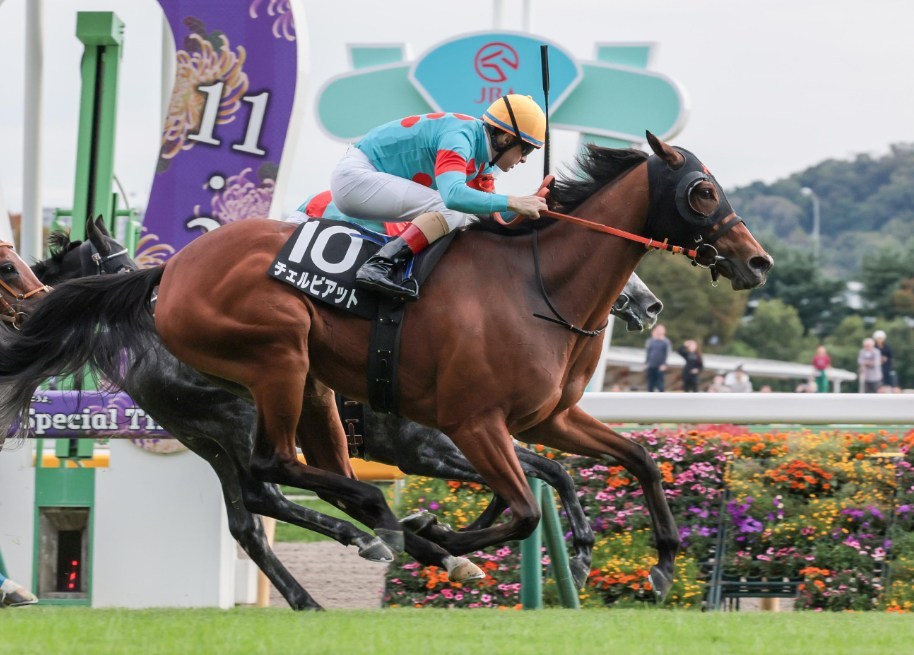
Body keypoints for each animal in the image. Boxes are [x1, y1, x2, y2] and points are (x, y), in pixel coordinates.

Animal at [28, 218, 661, 604]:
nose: (649, 303)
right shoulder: (432, 444)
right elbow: (533, 475)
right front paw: (442, 535)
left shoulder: (448, 439)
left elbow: (537, 475)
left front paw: (448, 536)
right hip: (239, 424)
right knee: (272, 496)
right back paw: (376, 545)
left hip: (218, 437)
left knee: (258, 515)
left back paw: (342, 573)